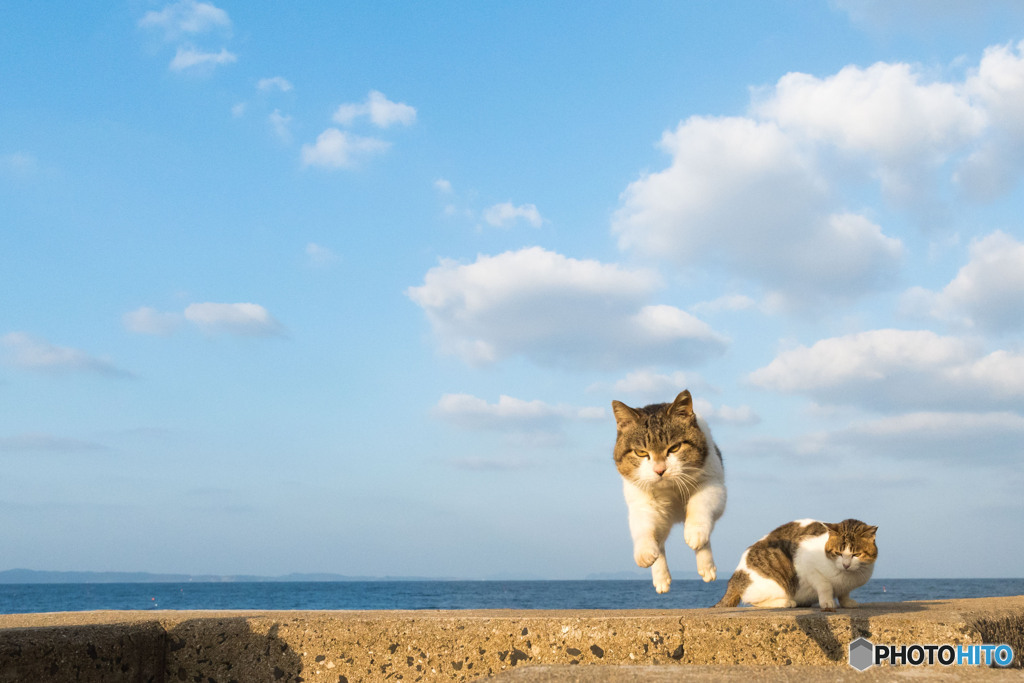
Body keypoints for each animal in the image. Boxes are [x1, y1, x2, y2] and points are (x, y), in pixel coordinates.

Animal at [610, 389, 724, 593]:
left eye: (675, 447)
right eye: (641, 452)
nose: (659, 470)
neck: (671, 490)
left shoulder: (713, 484)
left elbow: (699, 505)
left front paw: (695, 533)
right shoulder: (642, 503)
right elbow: (644, 529)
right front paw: (645, 553)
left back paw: (706, 566)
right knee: (660, 542)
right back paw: (661, 578)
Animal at [716, 520, 876, 610]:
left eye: (856, 554)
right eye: (838, 553)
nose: (846, 565)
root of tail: (734, 578)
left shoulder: (845, 586)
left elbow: (844, 593)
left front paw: (847, 602)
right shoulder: (806, 561)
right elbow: (825, 586)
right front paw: (827, 602)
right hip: (774, 584)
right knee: (752, 601)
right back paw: (786, 603)